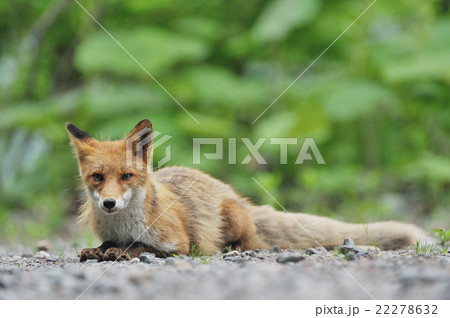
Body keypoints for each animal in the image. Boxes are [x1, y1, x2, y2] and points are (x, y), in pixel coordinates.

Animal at [66, 119, 428, 260]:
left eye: (126, 176)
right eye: (98, 177)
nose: (109, 203)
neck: (123, 225)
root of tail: (235, 195)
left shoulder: (180, 244)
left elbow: (143, 247)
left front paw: (122, 251)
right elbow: (105, 244)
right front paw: (99, 250)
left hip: (235, 218)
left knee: (251, 243)